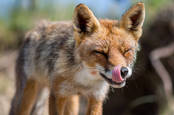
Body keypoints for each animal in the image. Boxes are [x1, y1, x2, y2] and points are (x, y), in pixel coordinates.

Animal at [9, 2, 145, 115]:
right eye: (101, 53)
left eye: (126, 51)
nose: (123, 71)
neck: (84, 81)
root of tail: (36, 28)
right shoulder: (56, 95)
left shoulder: (96, 98)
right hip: (27, 97)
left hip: (72, 102)